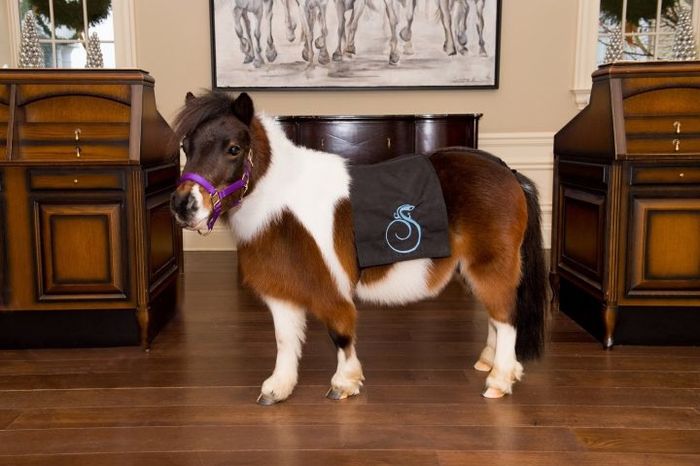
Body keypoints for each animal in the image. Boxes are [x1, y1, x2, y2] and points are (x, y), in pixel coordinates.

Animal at [170, 91, 548, 405]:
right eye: (186, 146)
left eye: (234, 149)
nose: (183, 205)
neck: (283, 205)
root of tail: (509, 173)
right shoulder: (281, 287)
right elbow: (285, 339)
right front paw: (278, 388)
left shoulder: (330, 286)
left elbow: (340, 331)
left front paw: (344, 383)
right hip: (473, 269)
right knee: (496, 317)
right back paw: (491, 363)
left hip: (491, 265)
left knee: (506, 317)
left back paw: (499, 380)